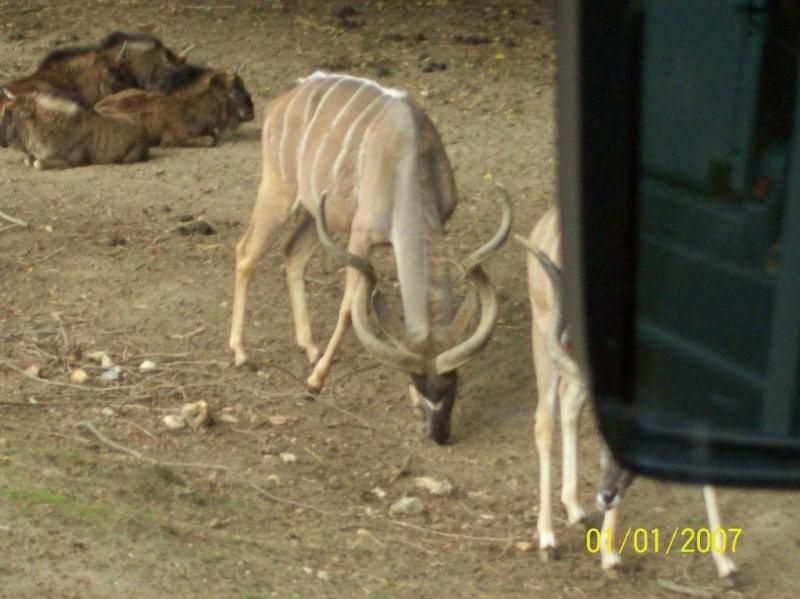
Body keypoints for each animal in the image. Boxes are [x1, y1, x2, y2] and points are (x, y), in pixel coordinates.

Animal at [228, 71, 510, 446]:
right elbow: (350, 309)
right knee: (246, 253)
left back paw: (309, 346)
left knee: (292, 254)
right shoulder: (360, 238)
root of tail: (281, 101)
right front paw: (315, 382)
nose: (438, 434)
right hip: (279, 190)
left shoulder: (438, 222)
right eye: (418, 383)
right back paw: (240, 353)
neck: (407, 157)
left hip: (316, 211)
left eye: (453, 381)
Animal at [520, 205, 736, 576]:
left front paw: (725, 563)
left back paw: (576, 509)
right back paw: (548, 537)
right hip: (544, 334)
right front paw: (610, 554)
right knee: (544, 421)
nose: (605, 495)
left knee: (569, 403)